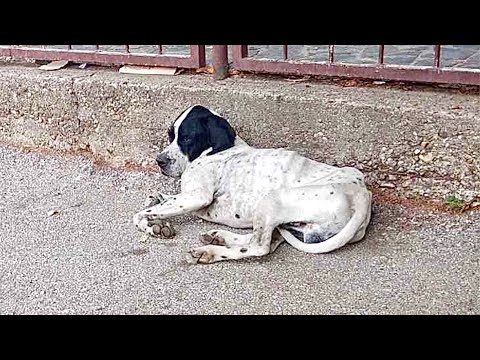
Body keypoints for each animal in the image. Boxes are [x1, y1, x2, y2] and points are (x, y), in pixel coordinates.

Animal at [133, 104, 374, 264]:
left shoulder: (196, 196)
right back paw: (220, 237)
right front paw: (156, 201)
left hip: (271, 200)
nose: (160, 161)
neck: (214, 151)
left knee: (260, 247)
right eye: (170, 135)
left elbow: (138, 215)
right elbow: (162, 201)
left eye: (187, 138)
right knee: (266, 238)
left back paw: (210, 251)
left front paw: (150, 225)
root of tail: (361, 194)